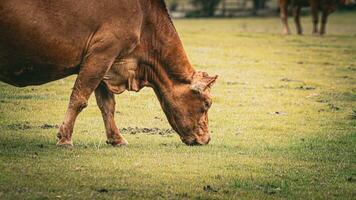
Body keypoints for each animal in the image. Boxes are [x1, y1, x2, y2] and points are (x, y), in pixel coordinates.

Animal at [0, 0, 217, 147]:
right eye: (206, 104)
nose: (207, 139)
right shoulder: (102, 54)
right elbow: (79, 99)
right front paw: (65, 139)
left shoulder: (107, 64)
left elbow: (107, 105)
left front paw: (116, 138)